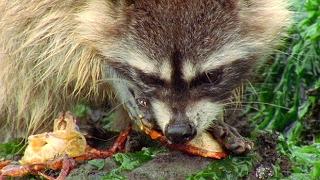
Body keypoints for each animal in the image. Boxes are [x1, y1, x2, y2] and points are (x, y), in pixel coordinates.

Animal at [0, 0, 290, 153]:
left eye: (209, 76)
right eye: (150, 78)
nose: (178, 131)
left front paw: (218, 122)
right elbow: (43, 36)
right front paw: (112, 74)